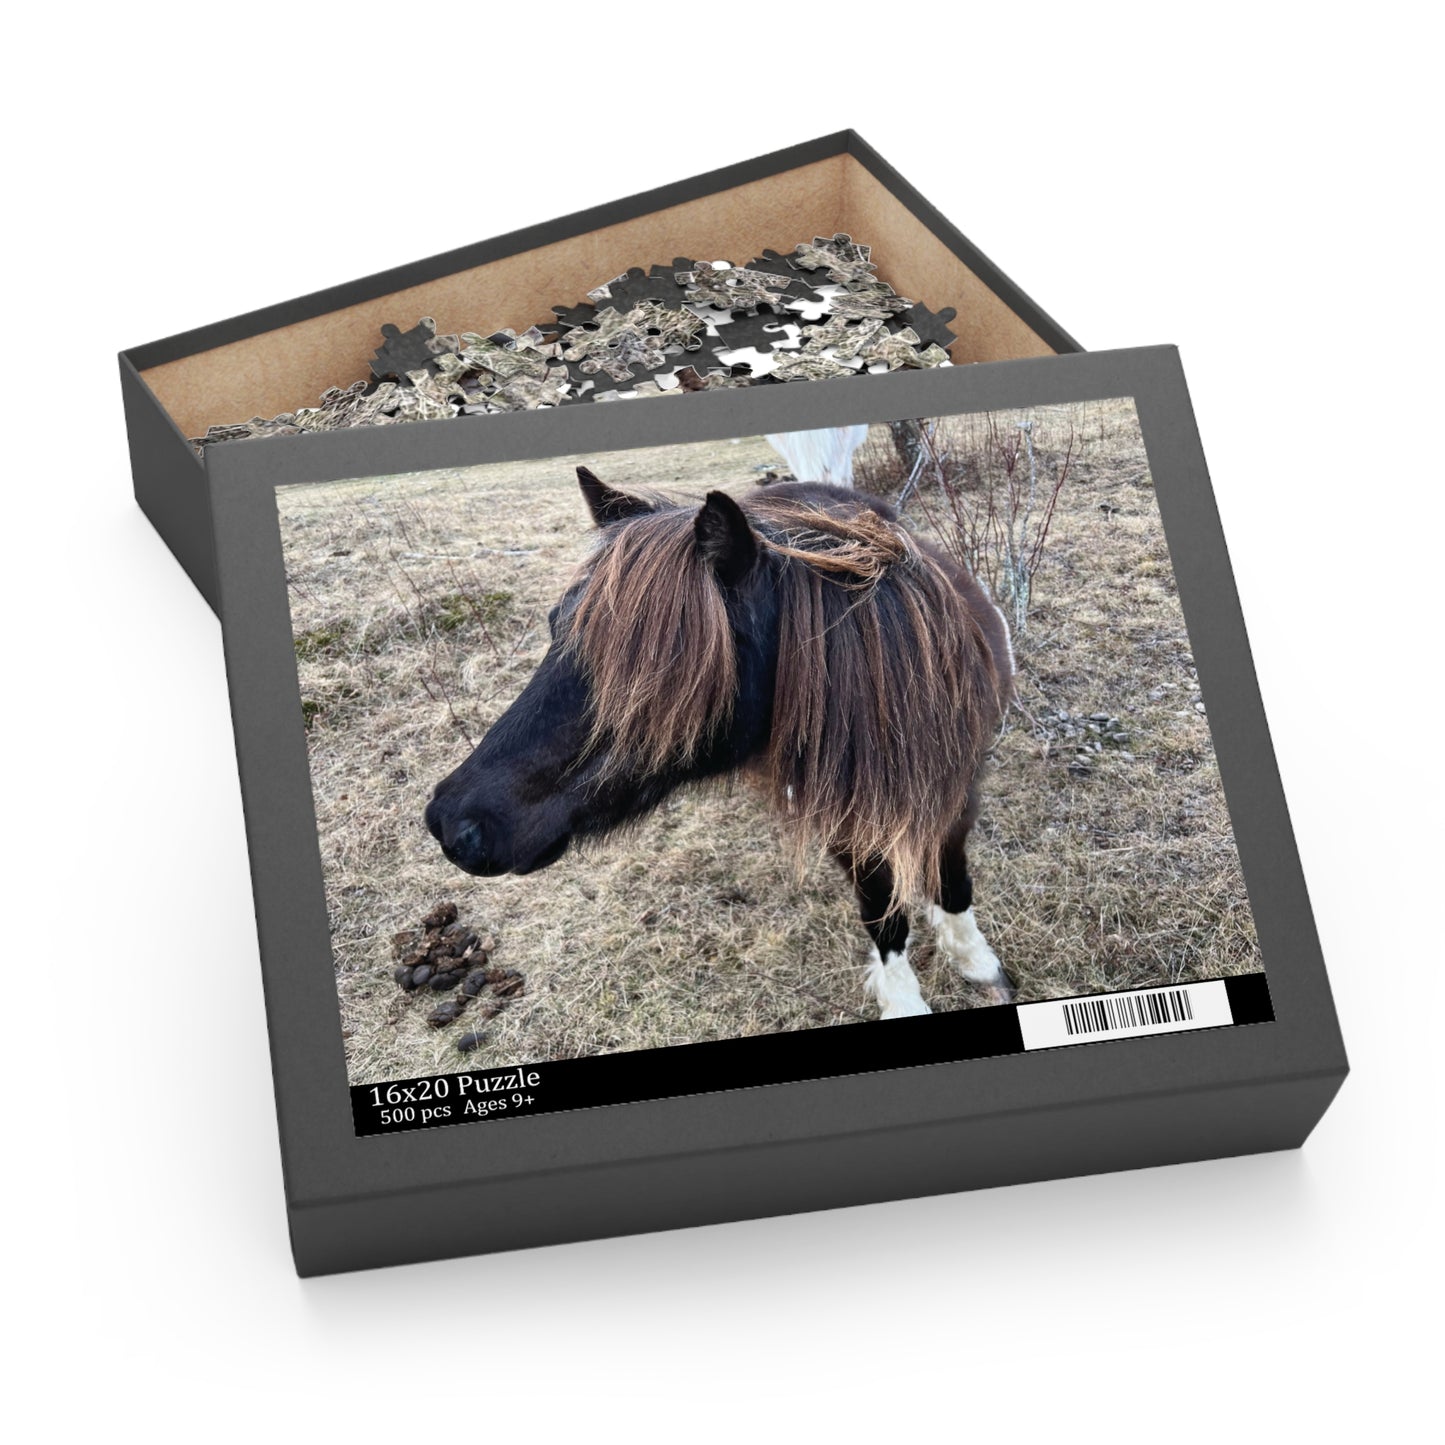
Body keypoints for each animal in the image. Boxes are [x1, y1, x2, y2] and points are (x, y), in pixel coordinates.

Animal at [424, 465, 1017, 1018]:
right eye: (554, 627)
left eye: (661, 676)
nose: (452, 824)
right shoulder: (848, 825)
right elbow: (883, 912)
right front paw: (903, 999)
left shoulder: (959, 791)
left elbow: (951, 880)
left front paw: (975, 960)